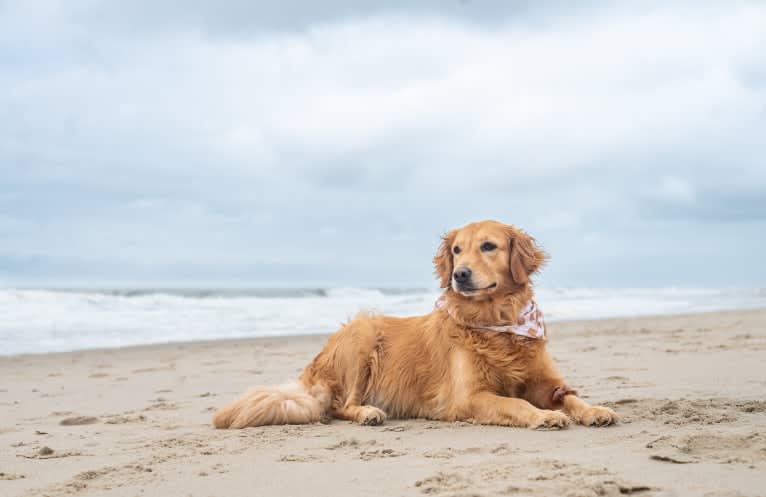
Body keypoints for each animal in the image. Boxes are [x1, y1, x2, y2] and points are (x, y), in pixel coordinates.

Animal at [213, 219, 620, 428]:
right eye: (457, 250)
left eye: (489, 246)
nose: (459, 274)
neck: (497, 321)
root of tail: (311, 372)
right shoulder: (468, 397)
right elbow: (518, 404)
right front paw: (544, 416)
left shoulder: (546, 382)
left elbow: (571, 397)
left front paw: (594, 411)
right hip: (361, 334)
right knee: (339, 406)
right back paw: (368, 412)